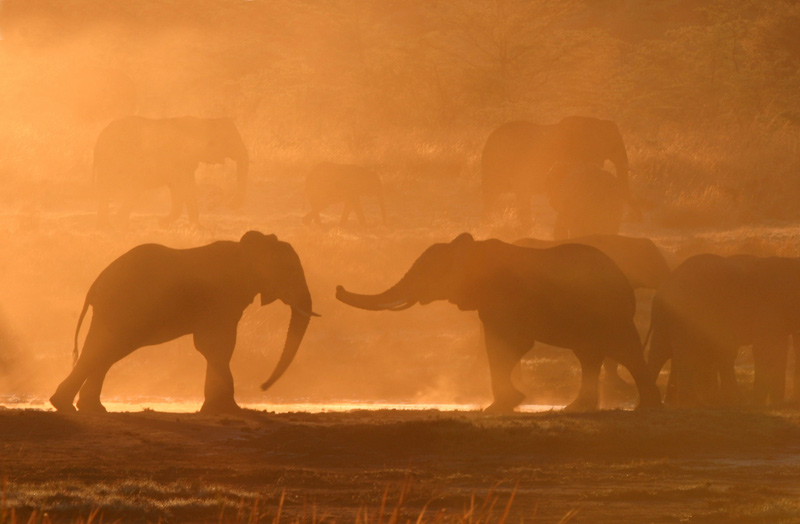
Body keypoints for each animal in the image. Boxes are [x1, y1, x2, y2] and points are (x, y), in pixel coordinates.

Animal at [48, 231, 318, 416]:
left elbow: (214, 347)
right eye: (289, 271)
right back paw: (68, 407)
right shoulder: (219, 298)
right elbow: (216, 346)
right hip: (123, 308)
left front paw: (216, 409)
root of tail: (95, 285)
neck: (245, 250)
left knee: (104, 352)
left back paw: (85, 408)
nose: (263, 387)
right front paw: (229, 410)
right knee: (105, 350)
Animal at [92, 115, 247, 226]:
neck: (206, 121)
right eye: (231, 141)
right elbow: (185, 187)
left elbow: (179, 188)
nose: (231, 205)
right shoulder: (182, 159)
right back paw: (113, 223)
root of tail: (100, 136)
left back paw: (112, 223)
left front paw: (165, 223)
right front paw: (194, 227)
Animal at [334, 234, 660, 414]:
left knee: (623, 350)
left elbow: (508, 344)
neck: (470, 249)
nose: (338, 288)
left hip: (609, 312)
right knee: (589, 355)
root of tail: (624, 280)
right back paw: (580, 408)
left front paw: (500, 406)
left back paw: (646, 407)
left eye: (427, 273)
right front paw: (507, 403)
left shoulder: (503, 298)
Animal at [648, 254, 800, 406]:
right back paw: (691, 402)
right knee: (683, 353)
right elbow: (768, 349)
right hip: (685, 314)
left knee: (660, 351)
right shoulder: (769, 309)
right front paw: (765, 401)